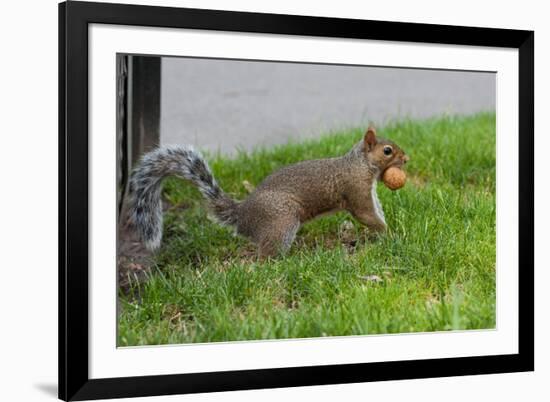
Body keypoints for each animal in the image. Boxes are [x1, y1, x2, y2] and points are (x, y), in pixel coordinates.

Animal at [129, 127, 410, 256]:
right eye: (387, 150)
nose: (406, 159)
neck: (359, 164)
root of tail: (243, 215)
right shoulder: (356, 190)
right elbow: (366, 214)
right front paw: (389, 234)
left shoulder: (369, 191)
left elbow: (376, 210)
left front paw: (391, 231)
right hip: (282, 221)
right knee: (266, 256)